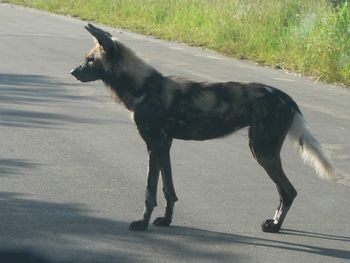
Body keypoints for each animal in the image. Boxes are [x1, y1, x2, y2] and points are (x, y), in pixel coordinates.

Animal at [69, 24, 334, 234]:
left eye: (90, 60)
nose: (73, 71)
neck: (142, 85)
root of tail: (287, 98)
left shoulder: (153, 146)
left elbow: (149, 192)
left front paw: (142, 224)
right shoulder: (164, 146)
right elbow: (168, 190)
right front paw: (166, 220)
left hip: (262, 152)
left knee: (288, 191)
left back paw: (275, 226)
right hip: (261, 151)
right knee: (285, 191)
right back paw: (275, 223)